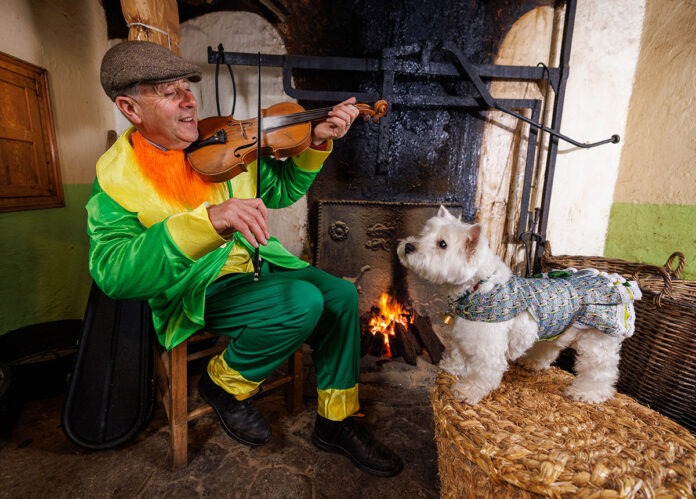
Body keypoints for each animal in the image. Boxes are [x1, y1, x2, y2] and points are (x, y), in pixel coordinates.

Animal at [396, 207, 640, 406]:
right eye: (425, 233)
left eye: (443, 244)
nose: (408, 246)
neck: (477, 288)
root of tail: (616, 282)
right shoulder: (463, 333)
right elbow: (458, 354)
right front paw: (452, 367)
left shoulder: (488, 347)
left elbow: (482, 373)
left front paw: (467, 390)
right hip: (560, 328)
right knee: (550, 348)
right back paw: (532, 362)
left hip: (597, 341)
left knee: (600, 370)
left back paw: (588, 393)